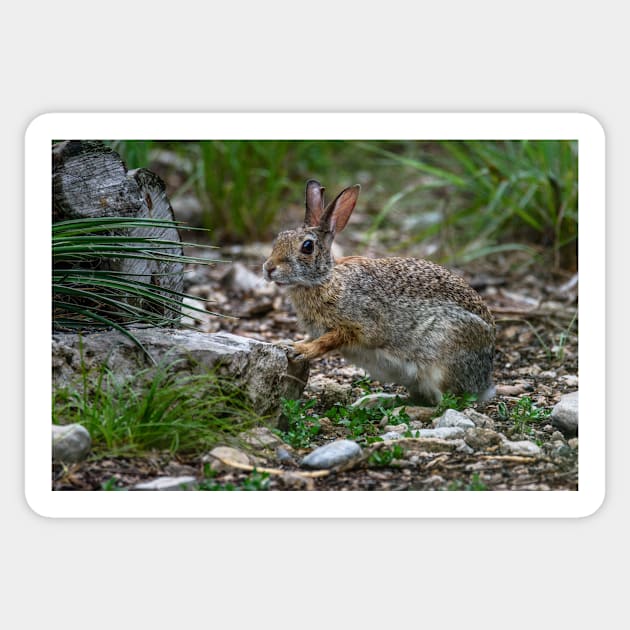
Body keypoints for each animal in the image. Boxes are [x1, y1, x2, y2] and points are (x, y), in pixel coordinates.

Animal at [264, 180, 496, 404]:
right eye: (279, 237)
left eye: (307, 247)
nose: (268, 268)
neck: (326, 279)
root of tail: (484, 384)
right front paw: (288, 344)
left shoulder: (356, 325)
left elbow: (327, 341)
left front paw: (300, 351)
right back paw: (374, 401)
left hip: (441, 361)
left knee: (445, 403)